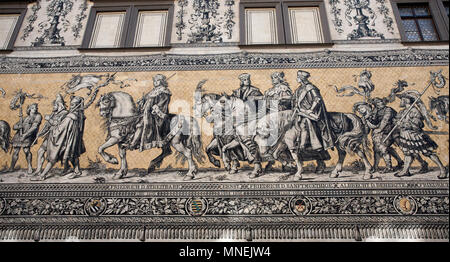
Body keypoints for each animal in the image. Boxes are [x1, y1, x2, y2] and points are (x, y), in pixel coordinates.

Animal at [197, 93, 372, 180]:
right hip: (339, 142)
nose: (208, 116)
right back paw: (334, 171)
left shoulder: (252, 143)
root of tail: (348, 115)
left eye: (221, 102)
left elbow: (256, 155)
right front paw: (227, 165)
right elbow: (223, 149)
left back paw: (367, 172)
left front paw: (254, 171)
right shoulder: (239, 142)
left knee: (356, 152)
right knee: (344, 153)